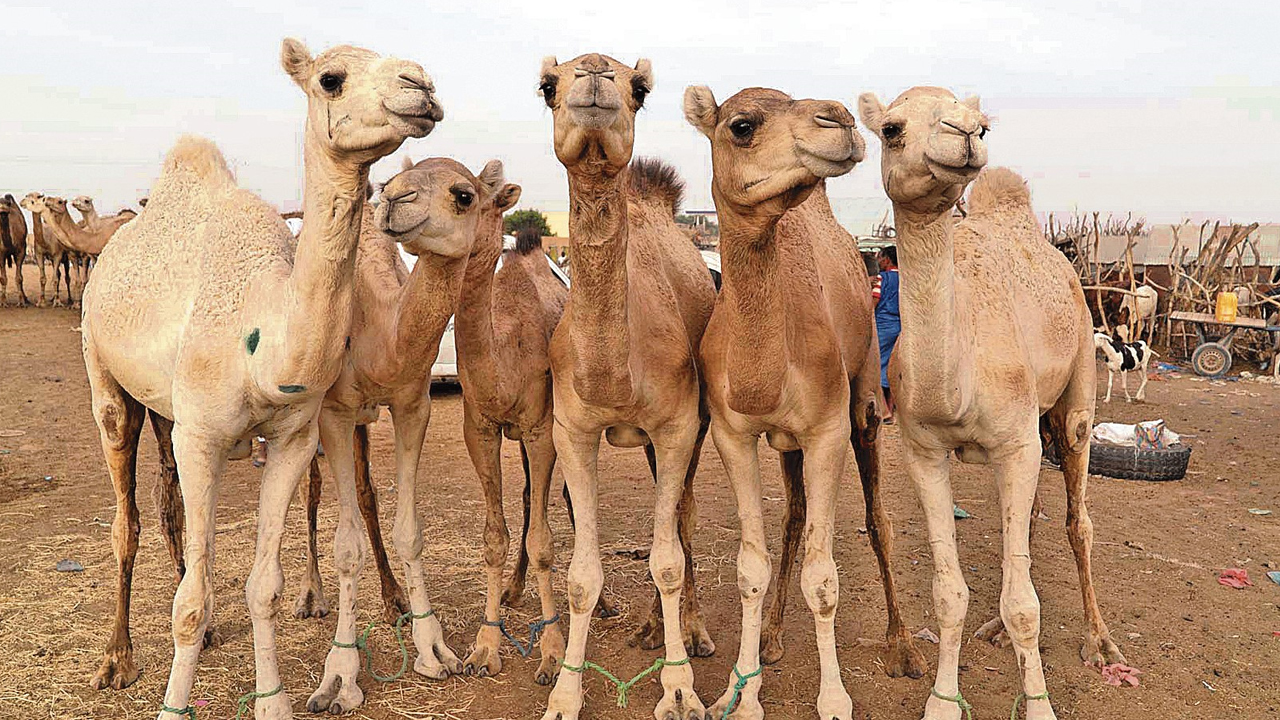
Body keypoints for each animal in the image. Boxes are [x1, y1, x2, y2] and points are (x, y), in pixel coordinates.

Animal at [79, 38, 442, 720]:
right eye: (331, 78)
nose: (422, 85)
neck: (262, 340)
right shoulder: (203, 438)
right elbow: (188, 605)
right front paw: (172, 704)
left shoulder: (294, 436)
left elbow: (263, 586)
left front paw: (273, 699)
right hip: (104, 376)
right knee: (126, 520)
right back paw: (116, 658)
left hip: (166, 410)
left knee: (169, 507)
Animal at [305, 155, 502, 714]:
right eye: (388, 182)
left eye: (463, 194)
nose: (395, 198)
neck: (379, 331)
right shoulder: (332, 413)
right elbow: (344, 545)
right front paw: (340, 677)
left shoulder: (412, 405)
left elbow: (409, 530)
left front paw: (433, 649)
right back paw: (309, 599)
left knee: (366, 492)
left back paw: (392, 598)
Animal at [536, 53, 717, 720]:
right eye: (548, 86)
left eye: (639, 87)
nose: (594, 74)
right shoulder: (571, 429)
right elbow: (581, 574)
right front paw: (564, 694)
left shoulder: (677, 426)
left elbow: (667, 560)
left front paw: (681, 689)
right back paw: (650, 629)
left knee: (684, 515)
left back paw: (691, 632)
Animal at [683, 84, 925, 720]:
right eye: (741, 125)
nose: (837, 119)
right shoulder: (733, 434)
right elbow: (751, 566)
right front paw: (740, 693)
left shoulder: (826, 432)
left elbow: (824, 576)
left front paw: (835, 698)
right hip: (787, 442)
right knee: (792, 515)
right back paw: (770, 635)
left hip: (865, 405)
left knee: (878, 520)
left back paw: (903, 646)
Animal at [858, 87, 1124, 720]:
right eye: (891, 128)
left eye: (982, 123)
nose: (966, 134)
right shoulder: (923, 451)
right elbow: (949, 593)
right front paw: (941, 700)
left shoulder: (1017, 441)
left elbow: (1025, 603)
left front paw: (1039, 704)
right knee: (1023, 529)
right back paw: (1000, 633)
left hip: (1077, 385)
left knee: (1078, 519)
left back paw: (1099, 641)